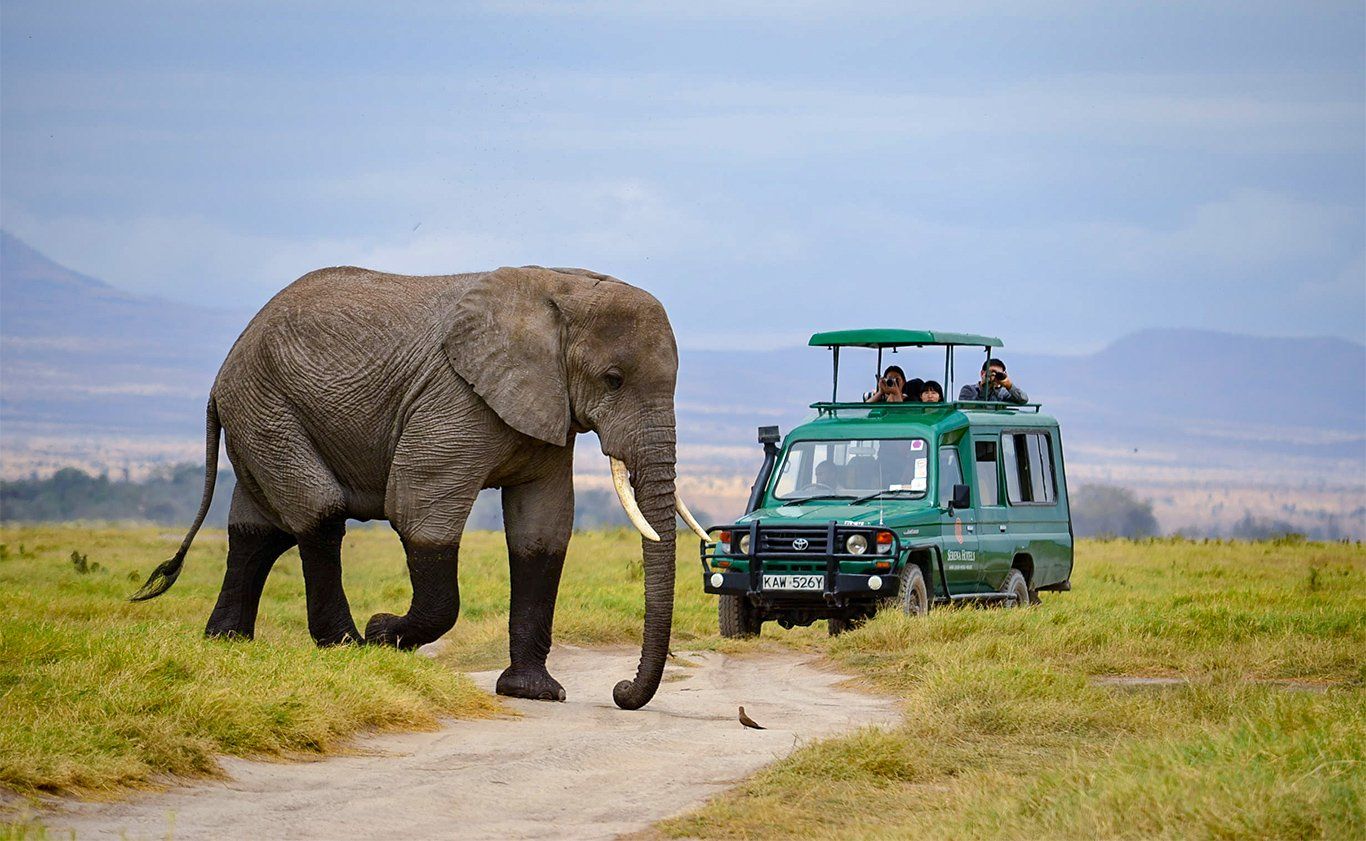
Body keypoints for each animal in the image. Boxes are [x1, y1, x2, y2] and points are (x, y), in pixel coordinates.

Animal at [130, 265, 711, 710]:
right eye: (613, 379)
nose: (619, 690)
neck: (561, 286)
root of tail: (222, 371)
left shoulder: (546, 406)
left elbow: (543, 531)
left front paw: (533, 693)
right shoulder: (455, 397)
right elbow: (418, 508)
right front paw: (384, 634)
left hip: (260, 414)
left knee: (258, 529)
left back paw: (226, 642)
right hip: (267, 407)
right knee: (319, 512)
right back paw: (346, 646)